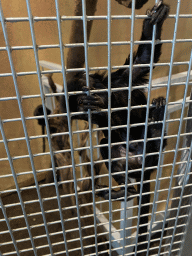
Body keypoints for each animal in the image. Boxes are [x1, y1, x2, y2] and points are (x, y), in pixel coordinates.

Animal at [35, 1, 170, 254]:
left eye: (81, 97)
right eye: (78, 108)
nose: (84, 103)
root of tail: (143, 168)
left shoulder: (120, 81)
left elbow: (142, 62)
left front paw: (153, 22)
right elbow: (109, 128)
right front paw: (101, 113)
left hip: (150, 155)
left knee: (153, 139)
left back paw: (156, 122)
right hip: (129, 161)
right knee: (109, 146)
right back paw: (126, 189)